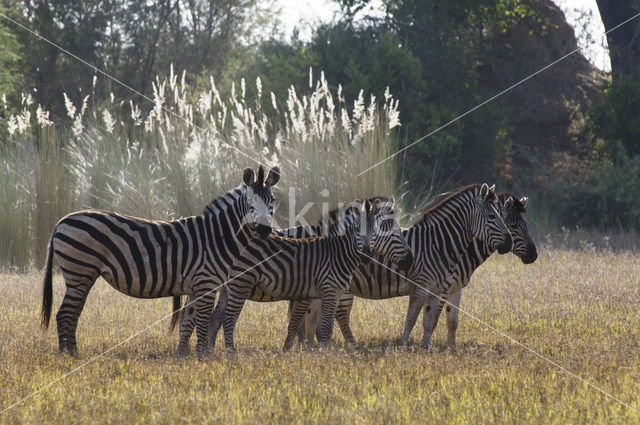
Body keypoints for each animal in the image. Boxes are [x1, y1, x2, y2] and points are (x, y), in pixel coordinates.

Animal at [40, 164, 280, 356]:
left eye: (273, 201)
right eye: (250, 202)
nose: (265, 230)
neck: (218, 236)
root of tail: (62, 221)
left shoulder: (195, 286)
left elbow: (188, 322)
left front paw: (182, 356)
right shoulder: (206, 283)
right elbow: (202, 322)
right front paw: (202, 356)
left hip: (82, 275)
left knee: (72, 314)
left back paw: (73, 352)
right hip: (80, 271)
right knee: (64, 314)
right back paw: (67, 355)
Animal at [208, 197, 412, 350]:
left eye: (378, 231)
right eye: (392, 231)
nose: (410, 258)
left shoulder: (308, 292)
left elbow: (302, 322)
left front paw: (298, 347)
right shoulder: (321, 291)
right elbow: (317, 323)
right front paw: (313, 348)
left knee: (216, 318)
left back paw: (210, 350)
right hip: (238, 284)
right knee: (224, 318)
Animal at [302, 192, 536, 348]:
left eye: (523, 224)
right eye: (513, 225)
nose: (534, 255)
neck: (443, 244)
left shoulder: (454, 288)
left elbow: (451, 321)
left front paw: (450, 348)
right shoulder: (438, 288)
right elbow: (429, 318)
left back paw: (311, 343)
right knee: (337, 315)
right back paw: (345, 344)